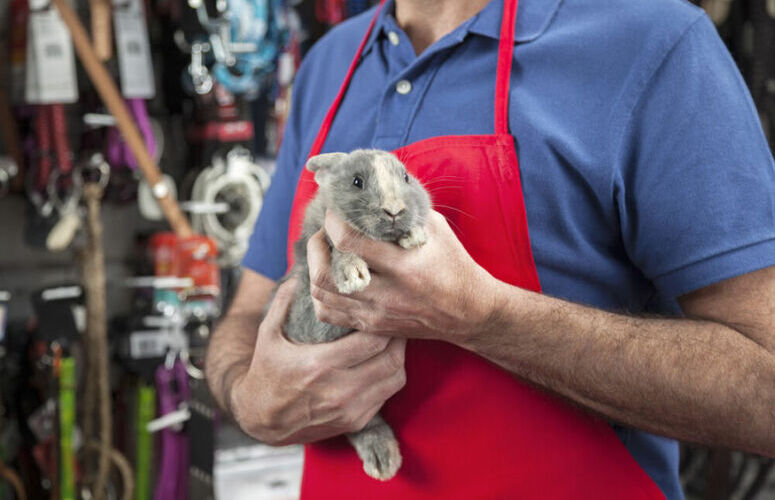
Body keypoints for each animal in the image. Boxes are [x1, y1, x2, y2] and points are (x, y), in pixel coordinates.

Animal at [278, 149, 430, 480]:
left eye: (406, 177)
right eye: (356, 182)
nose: (394, 211)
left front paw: (416, 235)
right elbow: (337, 250)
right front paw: (352, 275)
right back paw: (382, 460)